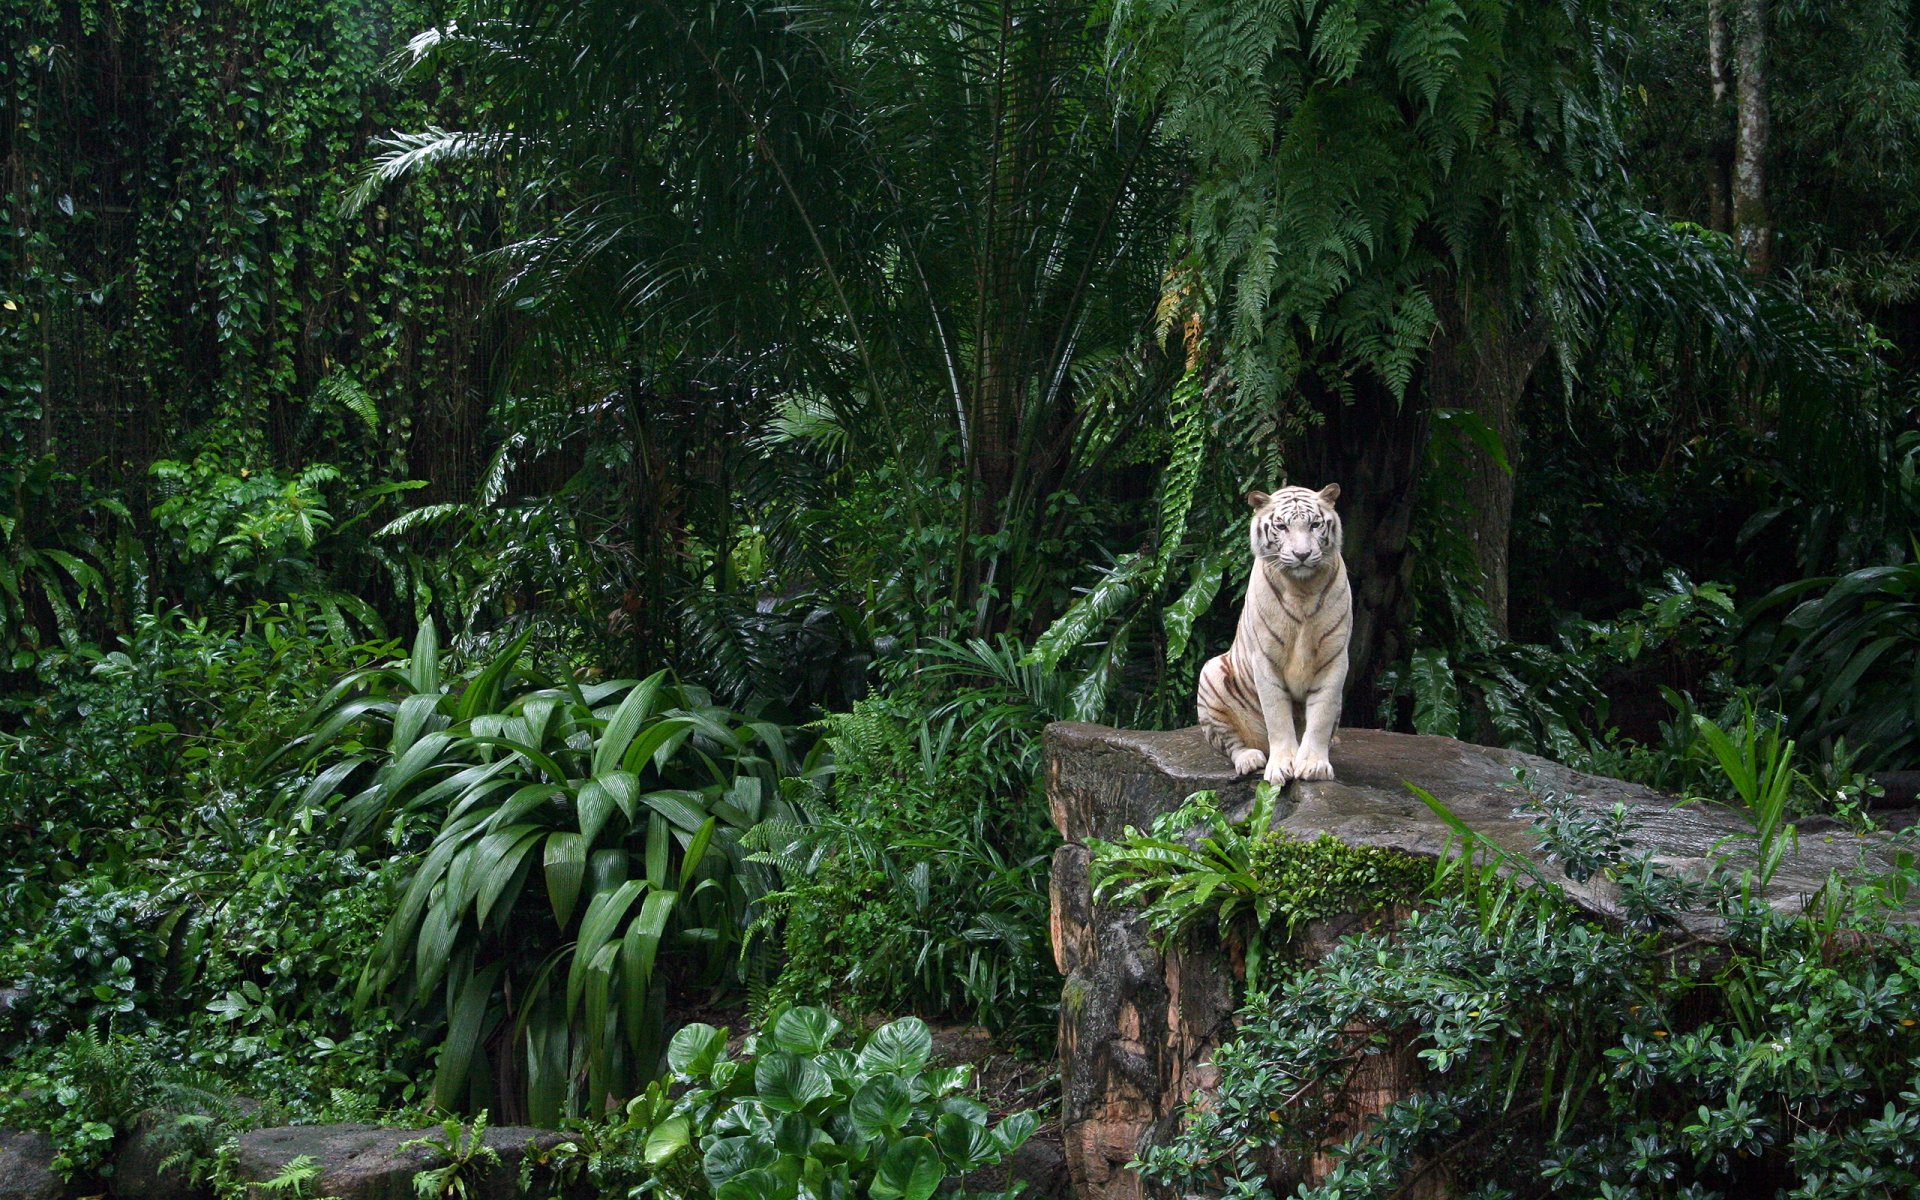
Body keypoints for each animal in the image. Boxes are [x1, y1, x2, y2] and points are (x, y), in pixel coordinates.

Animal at [1196, 483, 1352, 784]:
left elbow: (1322, 714)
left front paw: (1313, 765)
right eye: (1281, 526)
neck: (1302, 589)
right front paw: (1282, 766)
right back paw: (1250, 759)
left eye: (1315, 524)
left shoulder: (1334, 657)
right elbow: (1277, 716)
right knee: (1231, 743)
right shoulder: (1265, 659)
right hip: (1210, 674)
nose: (1302, 555)